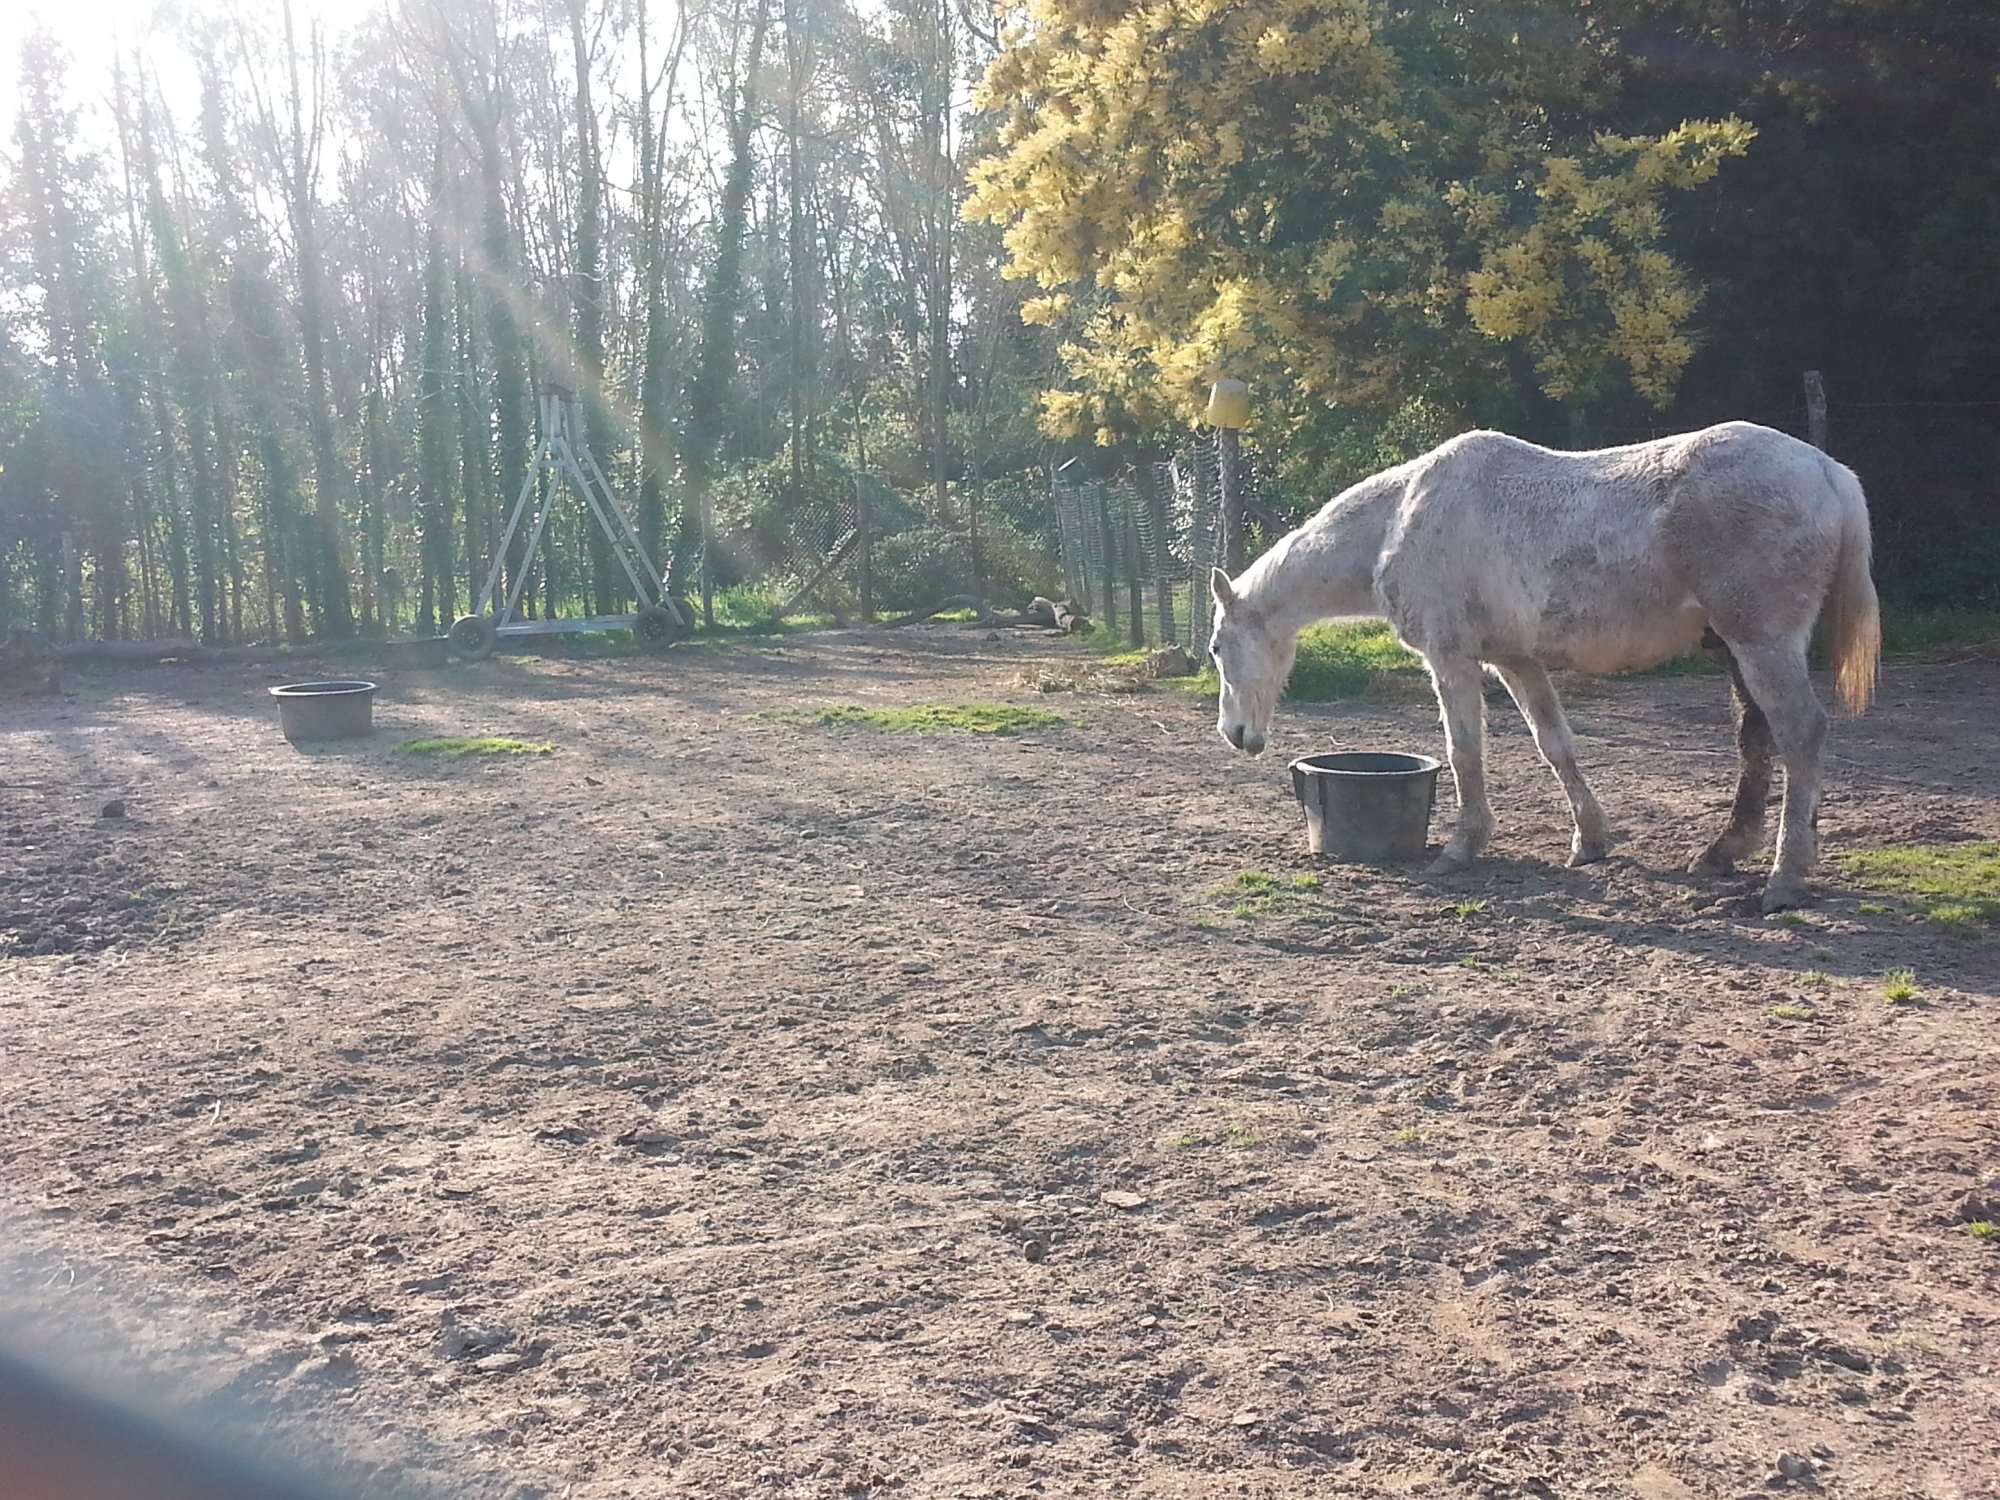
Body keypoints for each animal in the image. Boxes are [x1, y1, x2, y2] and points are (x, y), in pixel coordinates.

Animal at [1208, 424, 1880, 916]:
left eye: (1216, 648)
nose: (1235, 735)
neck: (1398, 519)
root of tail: (1829, 472)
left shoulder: (1451, 657)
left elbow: (1464, 750)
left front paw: (1461, 846)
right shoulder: (1515, 658)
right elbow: (1554, 744)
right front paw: (1591, 842)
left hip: (1763, 643)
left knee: (1799, 734)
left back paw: (1785, 878)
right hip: (1741, 650)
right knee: (1757, 742)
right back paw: (1724, 854)